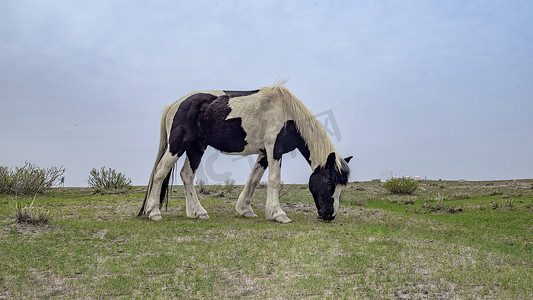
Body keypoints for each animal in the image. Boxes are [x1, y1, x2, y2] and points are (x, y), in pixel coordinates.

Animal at [139, 82, 352, 223]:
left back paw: (197, 212)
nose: (329, 215)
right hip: (177, 146)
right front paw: (279, 214)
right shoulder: (274, 148)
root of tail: (175, 104)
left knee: (187, 175)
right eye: (329, 182)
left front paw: (245, 209)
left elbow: (254, 179)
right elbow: (274, 179)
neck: (286, 112)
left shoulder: (264, 152)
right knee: (160, 173)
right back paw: (154, 212)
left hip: (196, 148)